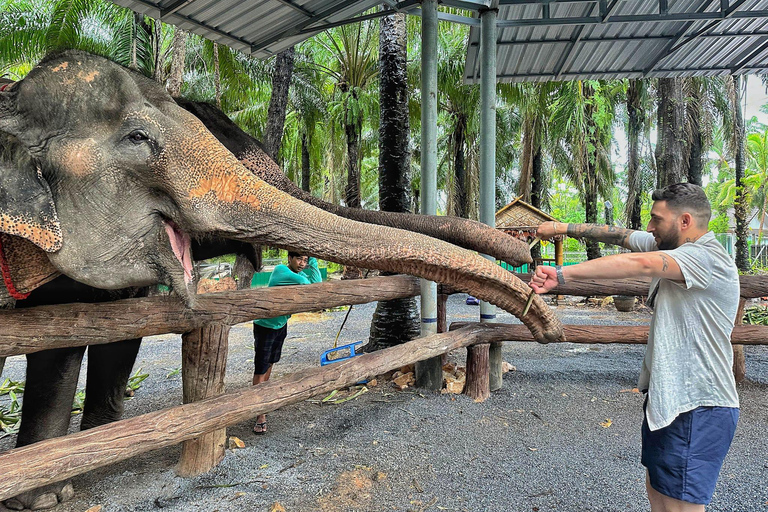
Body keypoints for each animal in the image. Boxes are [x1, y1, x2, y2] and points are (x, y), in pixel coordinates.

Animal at [0, 51, 564, 508]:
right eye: (138, 139)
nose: (524, 253)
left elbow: (102, 331)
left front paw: (92, 455)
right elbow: (60, 338)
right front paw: (49, 494)